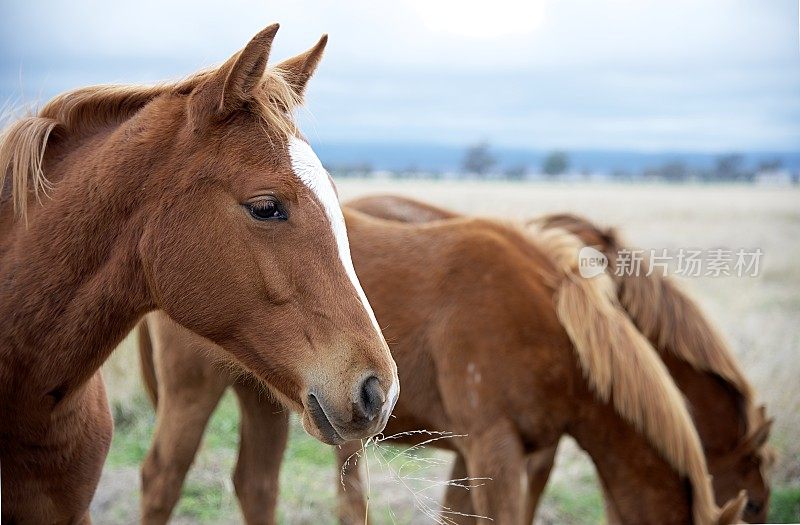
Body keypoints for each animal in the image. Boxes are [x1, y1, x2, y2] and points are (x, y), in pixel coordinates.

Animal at [138, 207, 744, 520]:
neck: (553, 326)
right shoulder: (494, 446)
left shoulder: (494, 452)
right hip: (193, 391)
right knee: (162, 479)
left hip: (266, 398)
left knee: (256, 484)